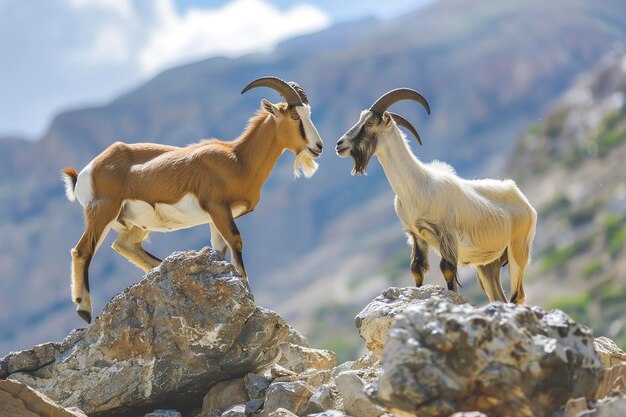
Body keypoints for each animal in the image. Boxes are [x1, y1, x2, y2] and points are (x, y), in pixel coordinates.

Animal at [59, 76, 322, 322]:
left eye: (308, 114)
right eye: (295, 116)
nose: (318, 146)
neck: (238, 160)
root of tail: (85, 172)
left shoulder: (217, 218)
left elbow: (220, 250)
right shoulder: (218, 209)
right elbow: (236, 243)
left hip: (135, 224)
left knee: (124, 245)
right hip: (102, 214)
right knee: (81, 251)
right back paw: (84, 309)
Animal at [334, 88, 532, 302]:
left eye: (369, 122)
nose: (339, 145)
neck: (417, 186)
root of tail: (523, 200)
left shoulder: (446, 234)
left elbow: (447, 270)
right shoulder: (416, 236)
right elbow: (416, 270)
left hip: (518, 251)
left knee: (518, 295)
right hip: (488, 263)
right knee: (498, 296)